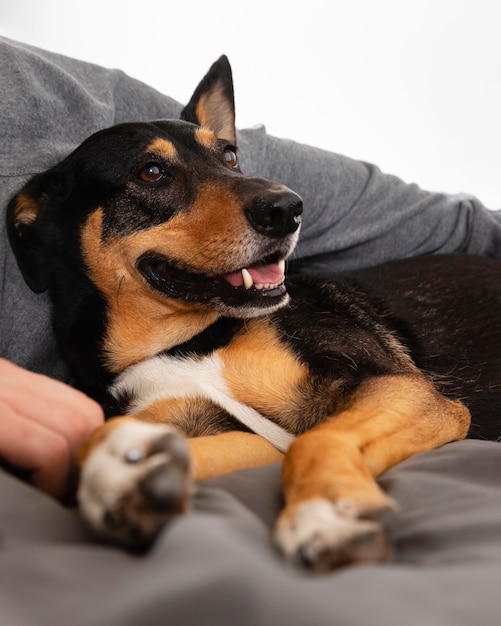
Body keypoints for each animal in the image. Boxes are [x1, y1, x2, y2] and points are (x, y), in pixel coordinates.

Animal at [6, 56, 500, 568]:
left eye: (229, 157)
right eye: (151, 172)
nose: (288, 208)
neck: (180, 341)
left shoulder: (404, 391)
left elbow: (314, 440)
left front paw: (325, 516)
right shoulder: (248, 439)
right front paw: (122, 482)